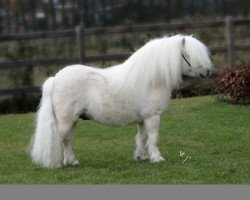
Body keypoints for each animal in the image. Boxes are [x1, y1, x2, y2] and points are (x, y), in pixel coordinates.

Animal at [30, 35, 212, 168]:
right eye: (188, 55)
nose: (208, 72)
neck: (151, 80)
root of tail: (55, 78)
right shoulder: (153, 117)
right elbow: (153, 138)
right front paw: (157, 158)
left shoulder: (143, 119)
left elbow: (142, 137)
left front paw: (142, 156)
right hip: (65, 121)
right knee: (56, 140)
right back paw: (54, 164)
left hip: (73, 121)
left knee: (67, 141)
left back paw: (72, 161)